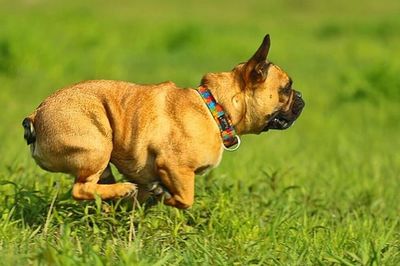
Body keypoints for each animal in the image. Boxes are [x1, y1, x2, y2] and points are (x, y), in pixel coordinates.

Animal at [22, 34, 304, 209]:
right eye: (287, 89)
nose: (301, 98)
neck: (216, 108)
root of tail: (35, 116)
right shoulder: (175, 166)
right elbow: (185, 198)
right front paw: (165, 198)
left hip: (103, 158)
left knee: (97, 187)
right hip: (97, 146)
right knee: (81, 189)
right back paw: (125, 190)